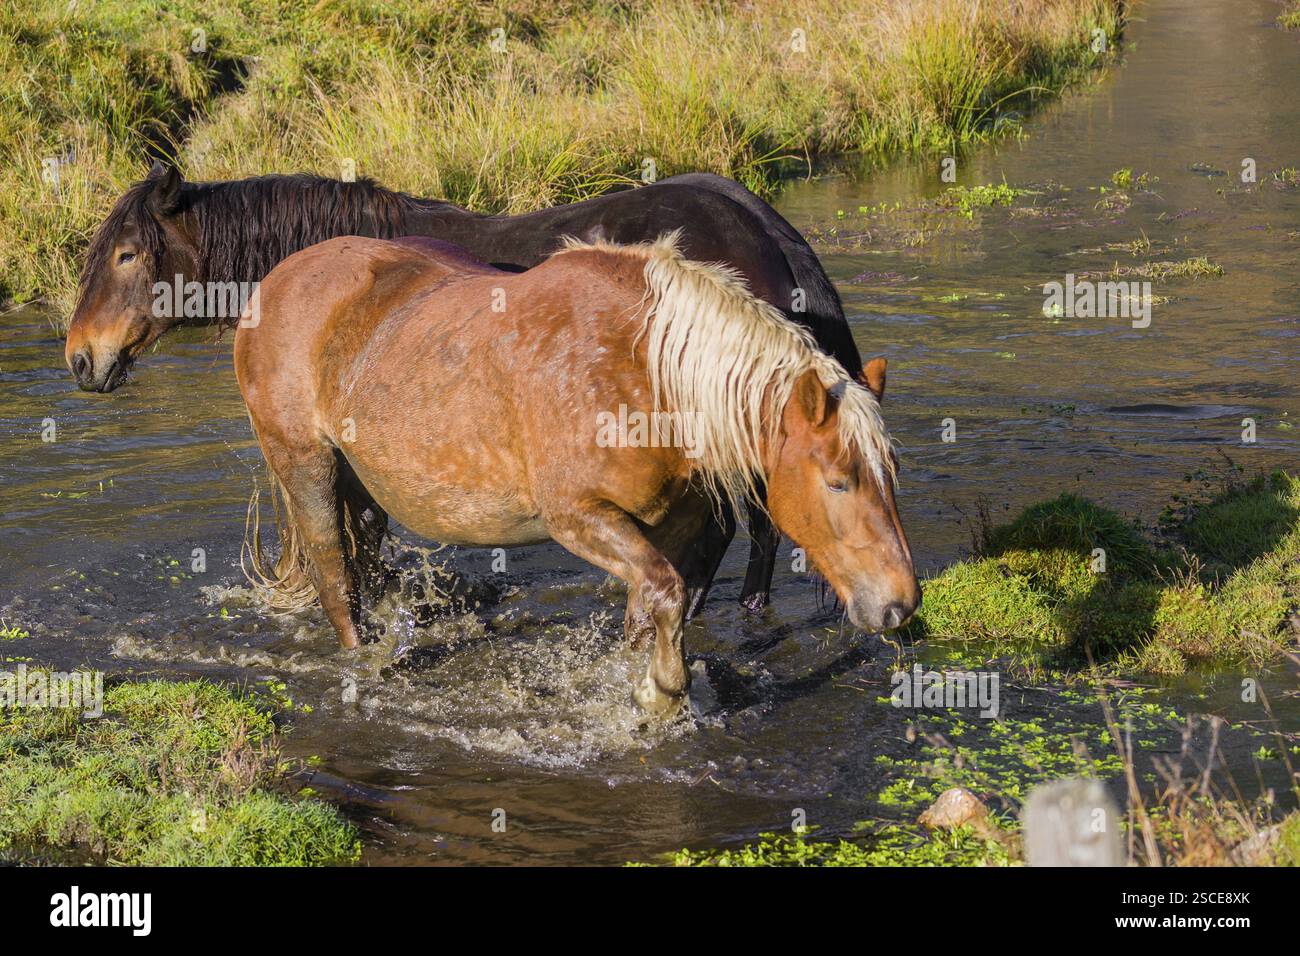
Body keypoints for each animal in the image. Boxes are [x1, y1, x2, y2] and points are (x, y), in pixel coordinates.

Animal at [234, 233, 919, 713]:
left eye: (890, 475)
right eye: (838, 481)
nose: (899, 604)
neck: (647, 374)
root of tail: (276, 280)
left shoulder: (668, 527)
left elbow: (650, 608)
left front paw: (636, 685)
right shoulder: (577, 517)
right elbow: (667, 594)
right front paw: (664, 692)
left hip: (363, 489)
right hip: (306, 467)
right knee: (335, 581)